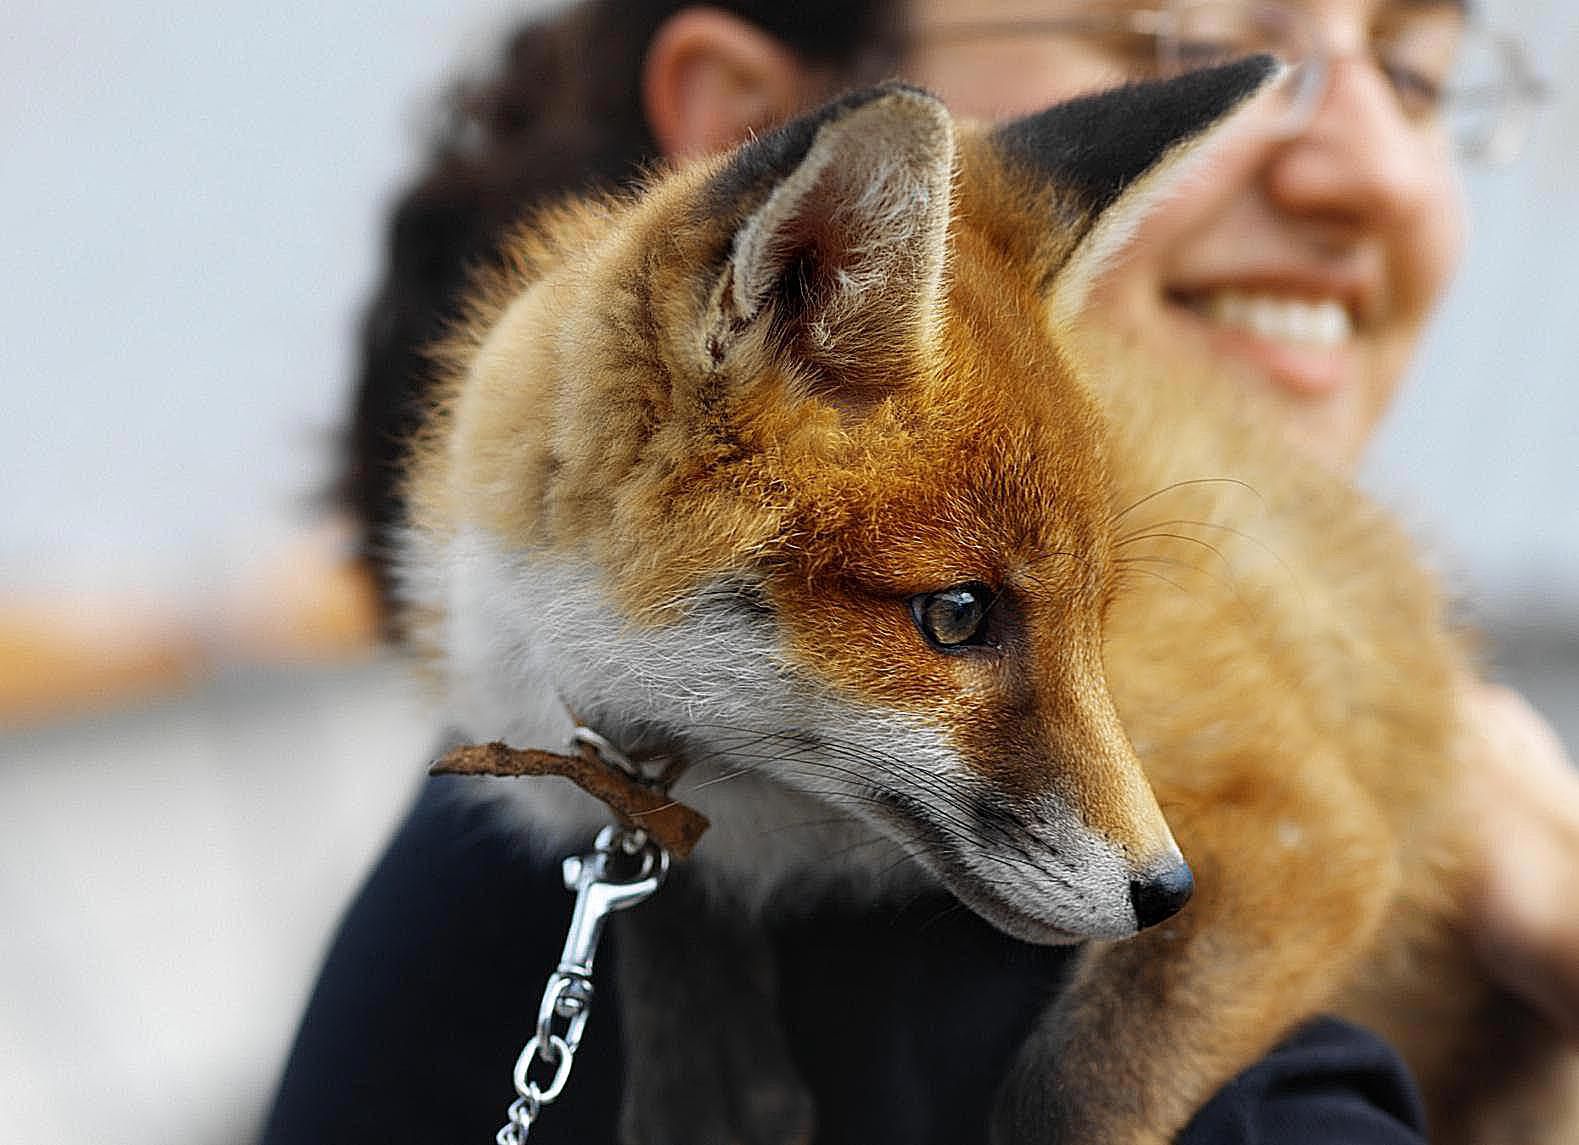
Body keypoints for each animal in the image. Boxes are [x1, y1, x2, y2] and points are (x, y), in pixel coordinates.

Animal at [397, 60, 1579, 1143]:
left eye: (1102, 612)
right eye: (957, 614)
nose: (1166, 890)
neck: (768, 811)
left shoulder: (1299, 826)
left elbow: (1080, 1088)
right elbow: (652, 895)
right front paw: (713, 1086)